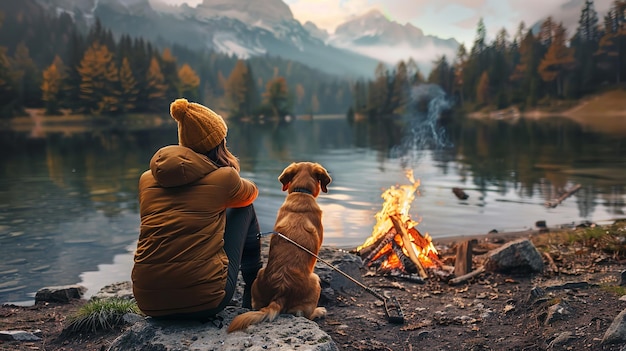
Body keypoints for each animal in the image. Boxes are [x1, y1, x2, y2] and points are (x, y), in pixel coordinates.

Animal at [225, 162, 332, 332]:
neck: (301, 193)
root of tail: (281, 292)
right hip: (316, 281)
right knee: (306, 314)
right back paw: (319, 311)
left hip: (259, 275)